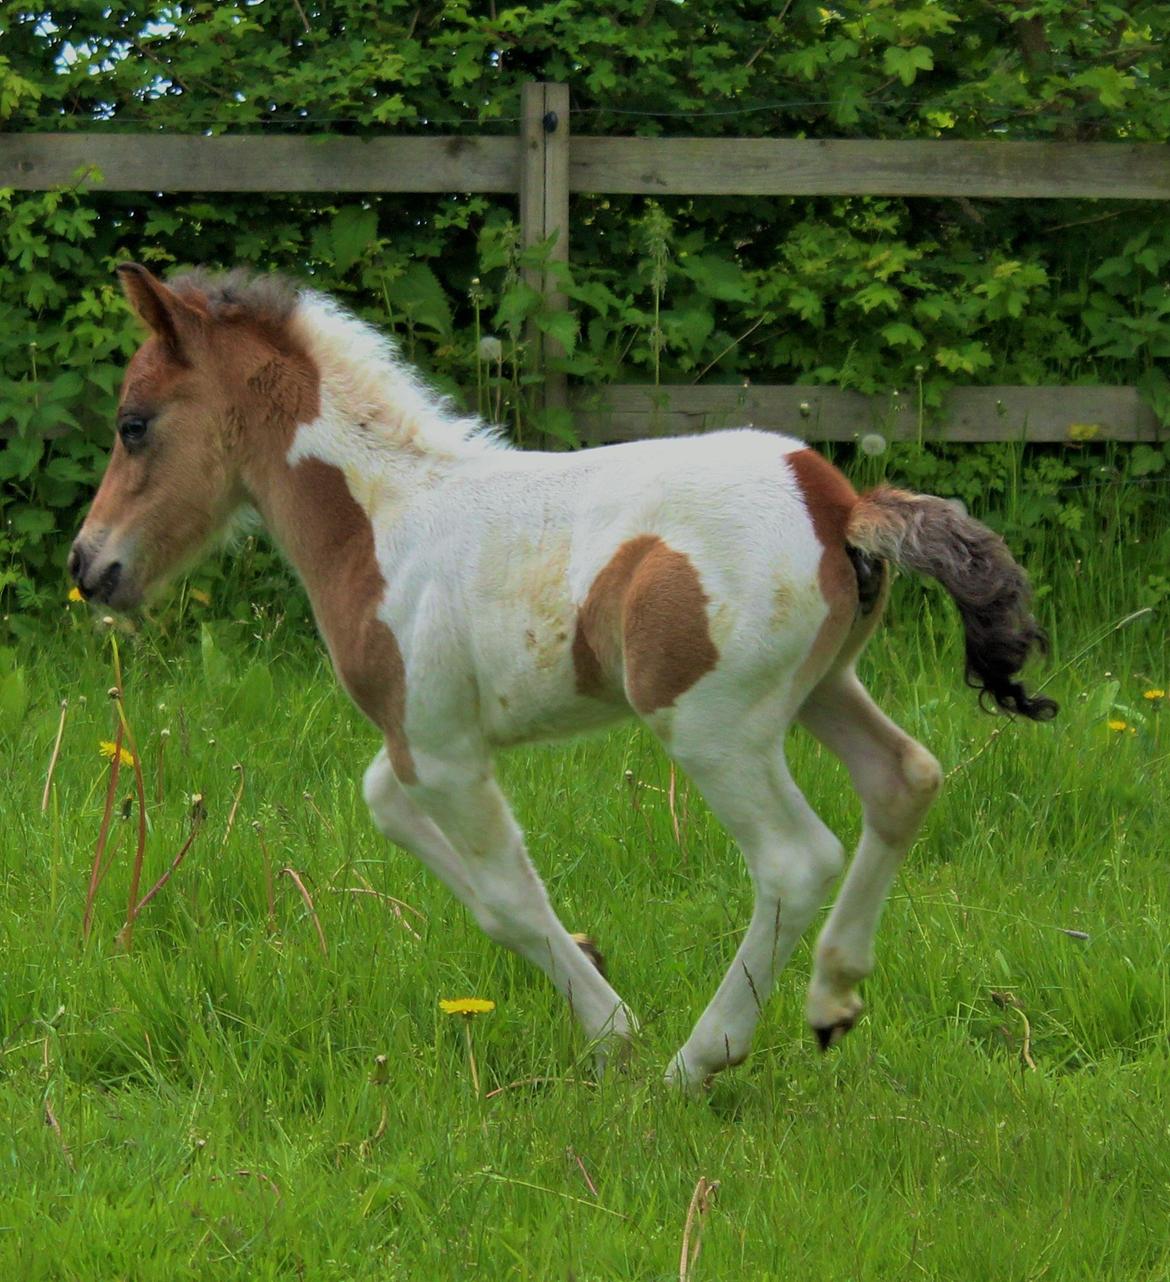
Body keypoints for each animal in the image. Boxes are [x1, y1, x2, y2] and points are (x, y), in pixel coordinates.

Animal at [73, 265, 1061, 1087]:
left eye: (134, 425)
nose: (90, 566)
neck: (383, 522)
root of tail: (841, 503)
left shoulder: (441, 749)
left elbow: (507, 898)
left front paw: (611, 1033)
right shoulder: (424, 739)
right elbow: (396, 816)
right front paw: (587, 950)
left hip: (712, 726)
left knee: (795, 857)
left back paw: (700, 1060)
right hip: (822, 689)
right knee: (905, 779)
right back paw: (833, 1000)